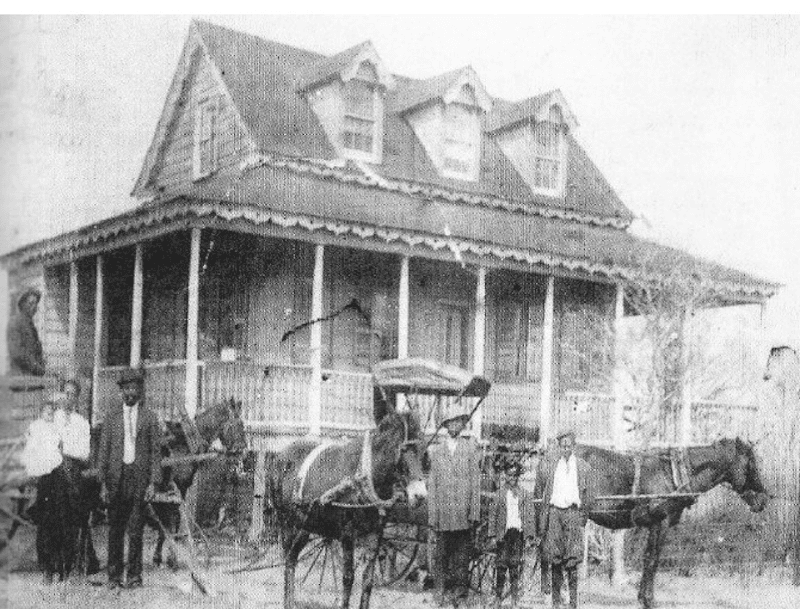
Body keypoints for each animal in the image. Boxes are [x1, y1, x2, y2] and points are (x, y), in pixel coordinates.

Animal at [152, 400, 247, 564]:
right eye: (238, 424)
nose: (243, 451)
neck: (186, 446)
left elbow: (167, 522)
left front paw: (160, 555)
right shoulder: (178, 488)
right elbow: (172, 520)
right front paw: (170, 557)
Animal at [266, 402, 428, 604]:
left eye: (423, 452)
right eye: (403, 449)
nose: (420, 495)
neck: (364, 478)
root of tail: (280, 456)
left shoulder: (375, 535)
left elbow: (367, 581)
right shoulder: (348, 535)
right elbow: (348, 578)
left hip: (305, 524)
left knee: (292, 557)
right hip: (287, 522)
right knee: (289, 559)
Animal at [536, 436, 768, 608]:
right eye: (750, 463)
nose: (764, 499)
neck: (674, 474)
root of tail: (548, 454)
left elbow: (648, 558)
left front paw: (642, 597)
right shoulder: (660, 523)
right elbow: (652, 560)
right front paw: (648, 600)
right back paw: (553, 595)